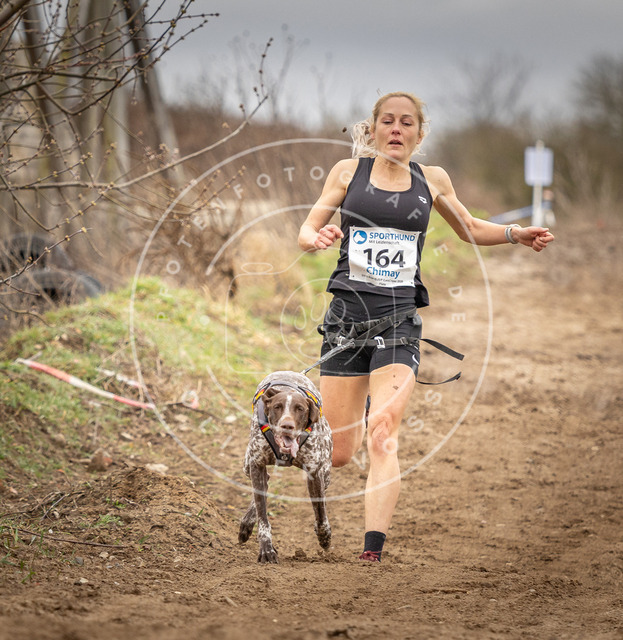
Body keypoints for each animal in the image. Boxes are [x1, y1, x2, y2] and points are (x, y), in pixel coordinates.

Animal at [238, 371, 332, 563]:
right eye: (277, 407)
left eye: (300, 408)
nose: (287, 426)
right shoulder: (256, 464)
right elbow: (263, 517)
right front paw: (267, 549)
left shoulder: (315, 473)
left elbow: (320, 514)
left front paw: (324, 537)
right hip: (247, 465)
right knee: (264, 484)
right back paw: (247, 524)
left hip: (326, 473)